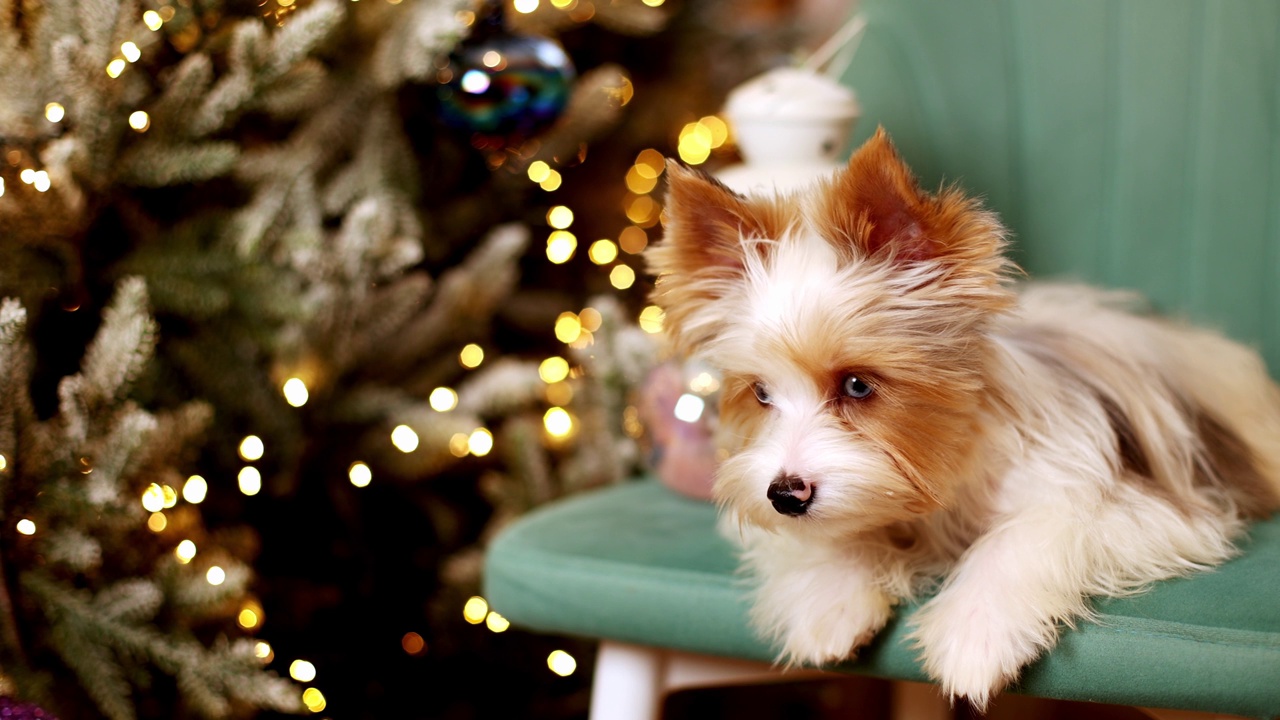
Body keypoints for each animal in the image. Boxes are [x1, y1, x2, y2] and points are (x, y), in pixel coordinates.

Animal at [645, 127, 1280, 707]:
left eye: (857, 384)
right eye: (760, 394)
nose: (784, 495)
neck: (940, 475)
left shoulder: (1134, 507)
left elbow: (1028, 535)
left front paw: (977, 633)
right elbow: (819, 540)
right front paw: (832, 602)